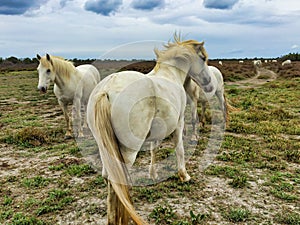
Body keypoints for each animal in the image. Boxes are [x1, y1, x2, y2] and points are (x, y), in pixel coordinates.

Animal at [85, 35, 214, 225]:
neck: (170, 74)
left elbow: (153, 149)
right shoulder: (178, 123)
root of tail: (106, 89)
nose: (209, 85)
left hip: (105, 149)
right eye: (203, 58)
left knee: (108, 177)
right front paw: (184, 175)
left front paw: (153, 174)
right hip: (128, 151)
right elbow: (180, 150)